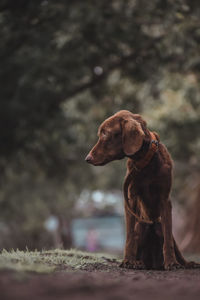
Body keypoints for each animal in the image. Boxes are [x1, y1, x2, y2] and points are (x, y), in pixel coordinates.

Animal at [85, 109, 196, 270]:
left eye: (105, 134)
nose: (87, 158)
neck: (146, 162)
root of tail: (153, 264)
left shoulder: (165, 200)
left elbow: (168, 238)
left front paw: (171, 262)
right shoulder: (130, 199)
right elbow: (130, 236)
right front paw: (128, 261)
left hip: (159, 225)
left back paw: (186, 263)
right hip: (141, 225)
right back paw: (138, 262)